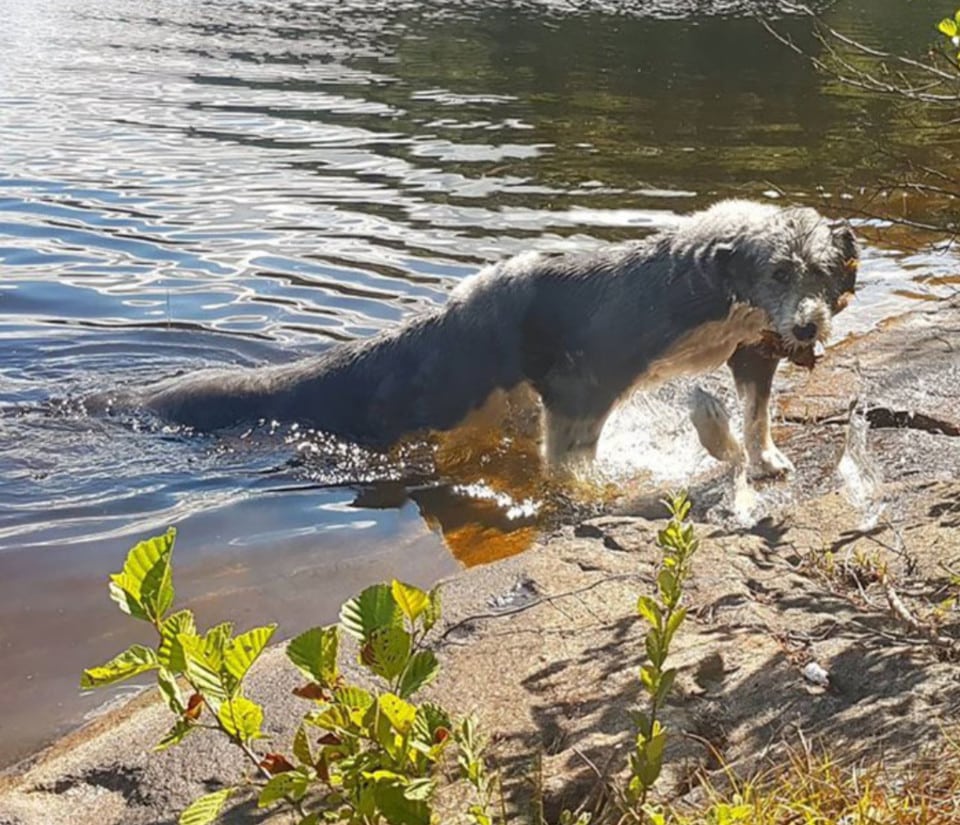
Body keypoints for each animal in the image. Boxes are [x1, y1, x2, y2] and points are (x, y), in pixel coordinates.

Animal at [95, 200, 856, 474]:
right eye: (778, 272)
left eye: (821, 274)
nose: (809, 325)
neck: (698, 286)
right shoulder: (582, 388)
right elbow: (574, 458)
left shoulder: (753, 352)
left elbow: (755, 413)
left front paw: (762, 458)